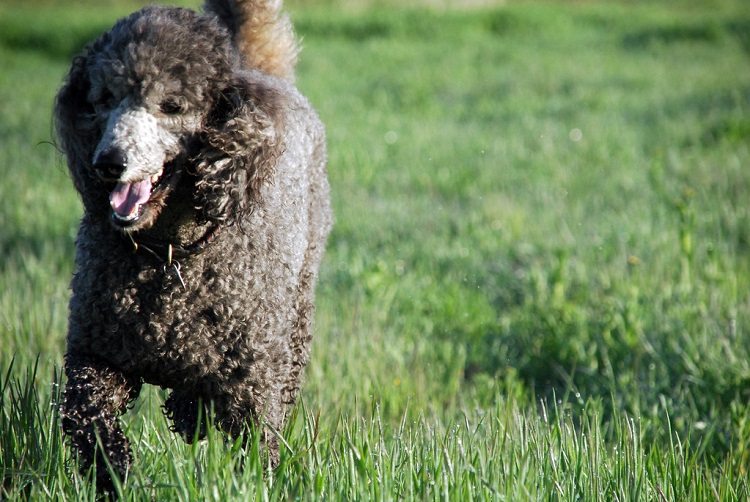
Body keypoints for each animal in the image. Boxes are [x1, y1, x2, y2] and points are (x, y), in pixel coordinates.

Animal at [54, 0, 330, 494]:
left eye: (172, 106)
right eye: (103, 100)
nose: (108, 162)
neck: (167, 256)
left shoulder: (252, 382)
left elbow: (256, 451)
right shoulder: (96, 354)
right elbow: (90, 421)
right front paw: (116, 479)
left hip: (296, 316)